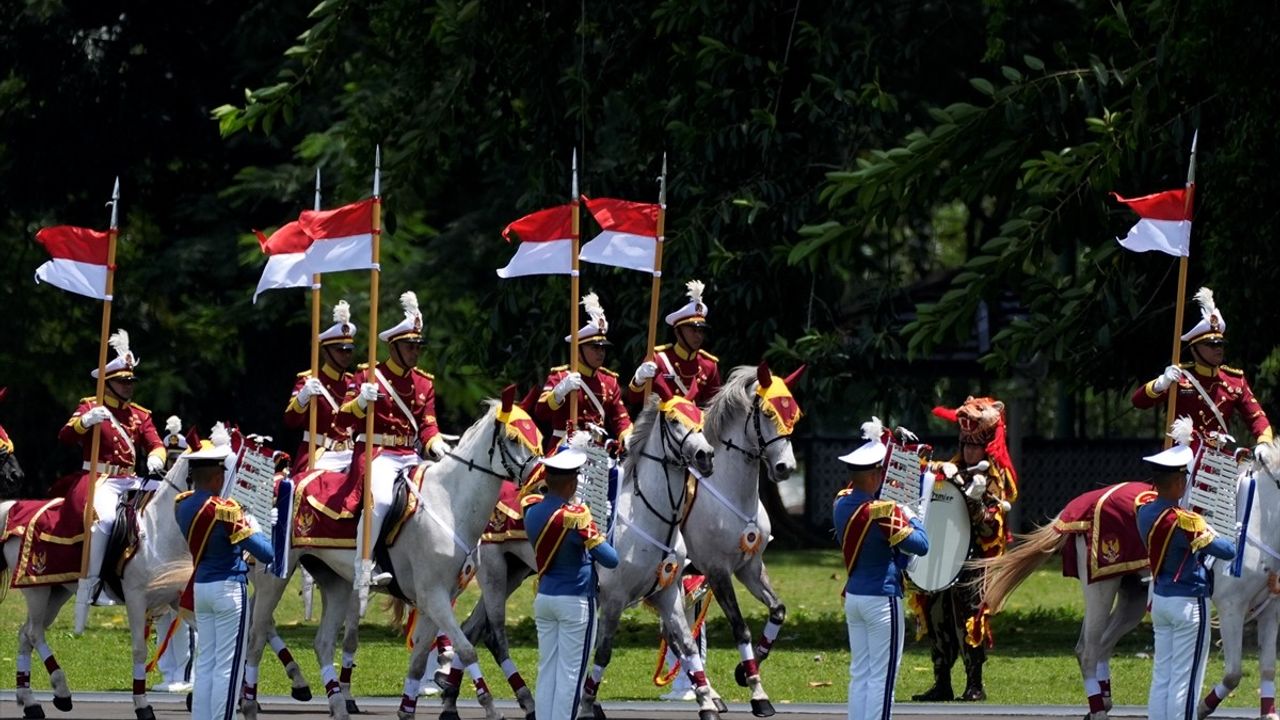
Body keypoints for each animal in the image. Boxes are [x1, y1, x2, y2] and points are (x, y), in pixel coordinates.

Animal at [0, 456, 194, 712]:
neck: (157, 533)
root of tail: (14, 508)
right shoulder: (136, 599)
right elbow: (139, 650)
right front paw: (142, 704)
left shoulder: (178, 598)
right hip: (37, 591)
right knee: (33, 633)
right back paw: (61, 691)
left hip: (56, 592)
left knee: (26, 632)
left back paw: (29, 700)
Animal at [581, 386, 721, 717]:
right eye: (674, 420)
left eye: (699, 417)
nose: (705, 456)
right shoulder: (614, 598)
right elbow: (603, 652)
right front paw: (587, 704)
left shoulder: (668, 594)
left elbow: (686, 644)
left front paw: (707, 702)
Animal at [680, 361, 798, 712]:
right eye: (768, 414)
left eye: (794, 415)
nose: (786, 468)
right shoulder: (717, 571)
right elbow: (741, 629)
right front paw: (758, 694)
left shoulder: (750, 567)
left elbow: (778, 610)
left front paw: (745, 671)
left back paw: (710, 694)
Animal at [972, 440, 1280, 712]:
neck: (1258, 525)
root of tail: (1078, 507)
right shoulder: (1231, 608)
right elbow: (1234, 673)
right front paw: (1203, 707)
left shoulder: (1269, 611)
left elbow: (1266, 669)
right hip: (1100, 588)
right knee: (1087, 649)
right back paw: (1097, 706)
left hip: (1133, 597)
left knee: (1104, 644)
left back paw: (1104, 698)